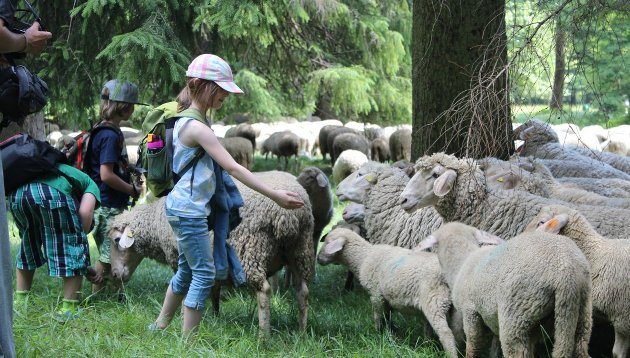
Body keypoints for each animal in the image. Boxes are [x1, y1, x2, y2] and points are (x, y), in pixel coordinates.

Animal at [110, 171, 316, 332]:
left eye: (116, 240)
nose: (114, 274)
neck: (155, 223)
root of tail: (289, 216)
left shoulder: (179, 258)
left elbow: (183, 289)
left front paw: (182, 317)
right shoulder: (214, 261)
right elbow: (214, 291)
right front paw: (216, 318)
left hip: (252, 252)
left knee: (264, 291)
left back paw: (263, 337)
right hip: (300, 251)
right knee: (303, 292)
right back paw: (301, 333)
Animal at [320, 228, 460, 356]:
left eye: (327, 242)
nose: (318, 259)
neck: (363, 257)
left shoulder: (376, 294)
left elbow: (377, 316)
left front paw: (377, 333)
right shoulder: (387, 298)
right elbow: (387, 316)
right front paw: (390, 334)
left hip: (435, 301)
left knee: (446, 333)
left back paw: (450, 353)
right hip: (451, 305)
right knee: (454, 330)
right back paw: (430, 345)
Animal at [420, 222, 592, 356]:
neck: (462, 263)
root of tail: (566, 270)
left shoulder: (471, 312)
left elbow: (473, 346)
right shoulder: (493, 318)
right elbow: (495, 347)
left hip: (516, 313)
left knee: (516, 351)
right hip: (581, 311)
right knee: (580, 347)